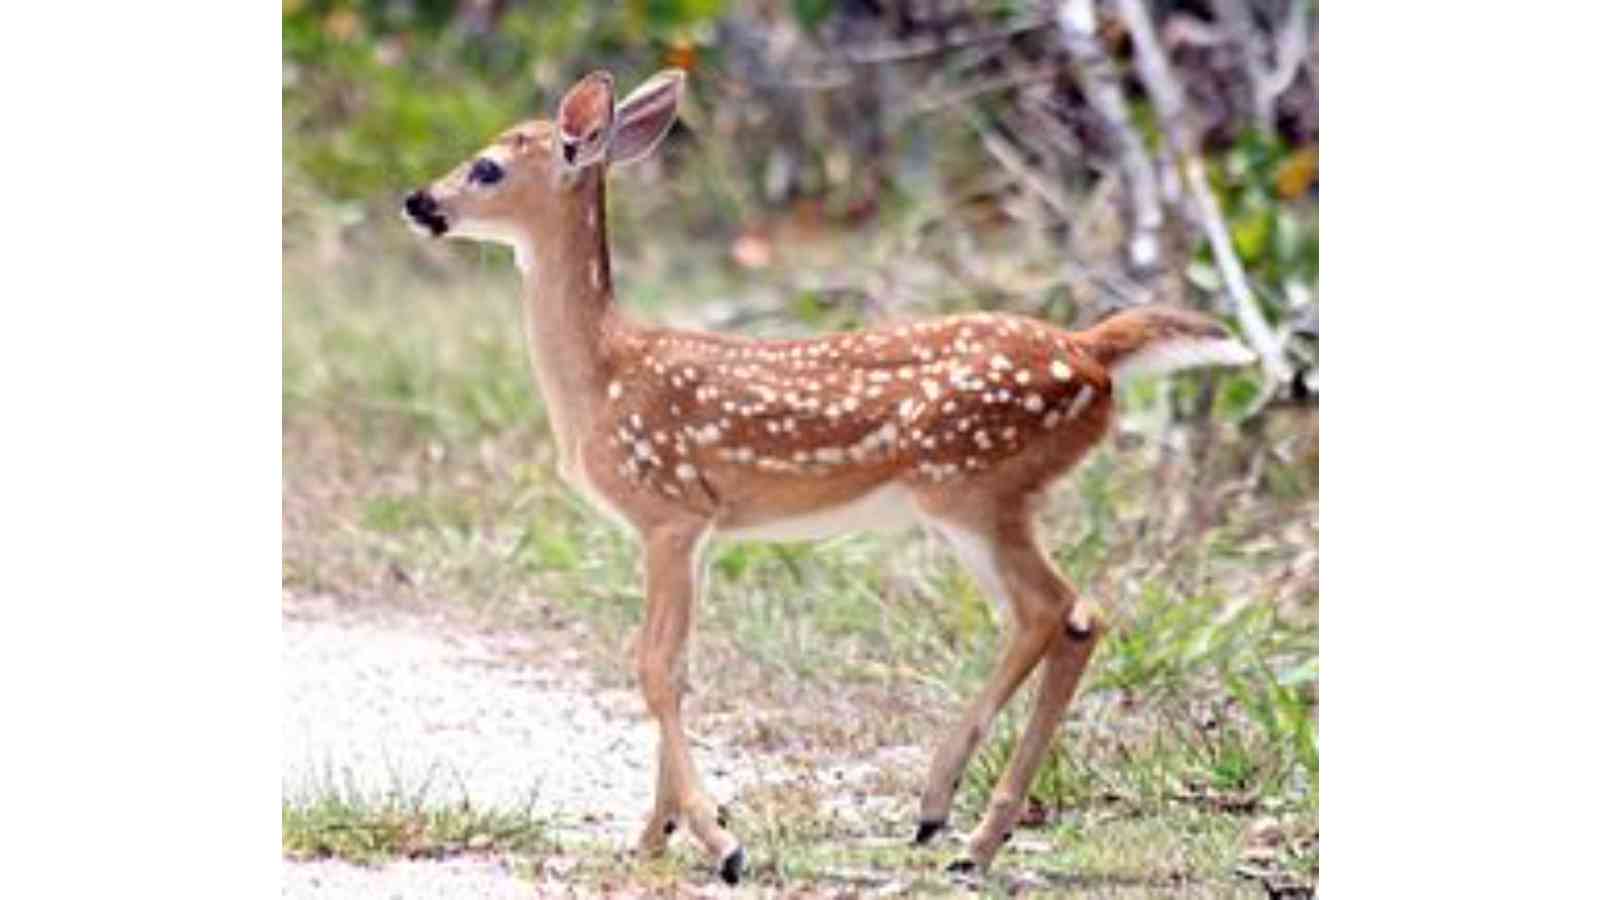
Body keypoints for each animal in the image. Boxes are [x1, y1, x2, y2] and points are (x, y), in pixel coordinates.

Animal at [401, 69, 1257, 885]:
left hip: (970, 484)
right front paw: (652, 838)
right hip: (990, 496)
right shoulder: (701, 526)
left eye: (487, 167)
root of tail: (1092, 353)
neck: (603, 375)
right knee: (1066, 617)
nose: (417, 201)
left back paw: (951, 818)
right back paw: (964, 828)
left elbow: (653, 667)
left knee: (1057, 610)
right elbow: (678, 666)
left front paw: (719, 842)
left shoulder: (668, 508)